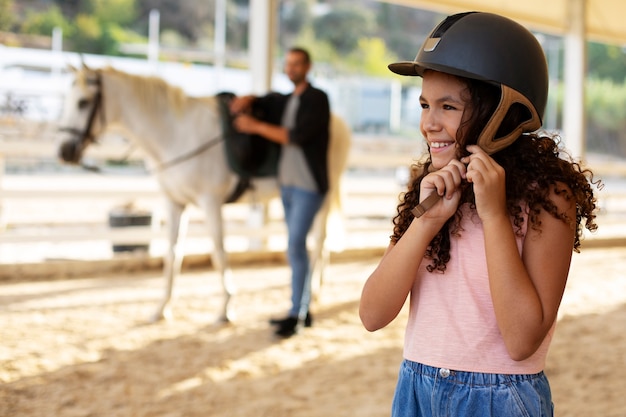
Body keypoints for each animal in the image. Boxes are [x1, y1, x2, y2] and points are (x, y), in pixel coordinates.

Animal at [57, 65, 352, 322]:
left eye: (83, 102)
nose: (64, 151)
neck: (176, 134)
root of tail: (338, 121)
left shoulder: (211, 203)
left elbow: (218, 253)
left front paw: (226, 309)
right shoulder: (175, 203)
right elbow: (172, 254)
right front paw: (162, 308)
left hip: (323, 194)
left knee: (318, 241)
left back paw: (312, 291)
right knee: (321, 242)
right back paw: (317, 289)